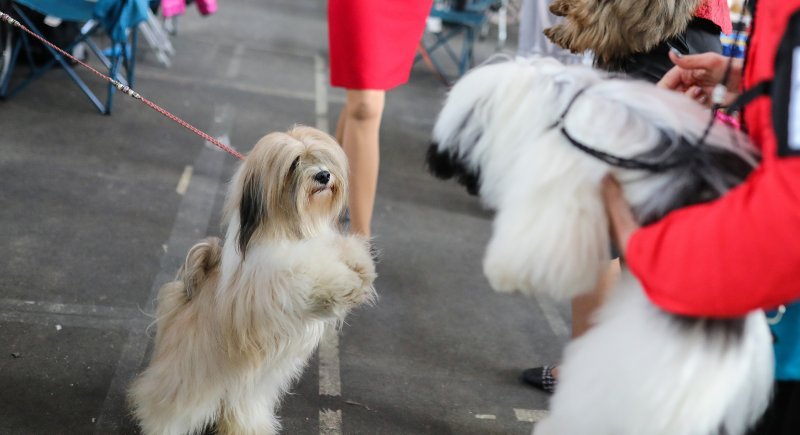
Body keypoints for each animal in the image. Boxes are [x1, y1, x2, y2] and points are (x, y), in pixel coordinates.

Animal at [130, 127, 378, 435]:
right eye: (294, 163)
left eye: (321, 158)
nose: (323, 175)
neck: (292, 227)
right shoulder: (278, 282)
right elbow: (313, 269)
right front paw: (345, 278)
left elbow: (338, 256)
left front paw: (360, 266)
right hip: (192, 368)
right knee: (170, 399)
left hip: (253, 382)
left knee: (240, 404)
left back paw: (249, 427)